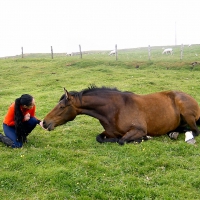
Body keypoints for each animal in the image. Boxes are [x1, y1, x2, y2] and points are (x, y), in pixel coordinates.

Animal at [42, 86, 200, 145]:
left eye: (62, 107)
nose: (44, 122)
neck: (116, 109)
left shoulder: (138, 130)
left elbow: (121, 140)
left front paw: (144, 138)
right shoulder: (108, 132)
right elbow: (100, 138)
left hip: (188, 115)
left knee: (195, 131)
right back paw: (173, 133)